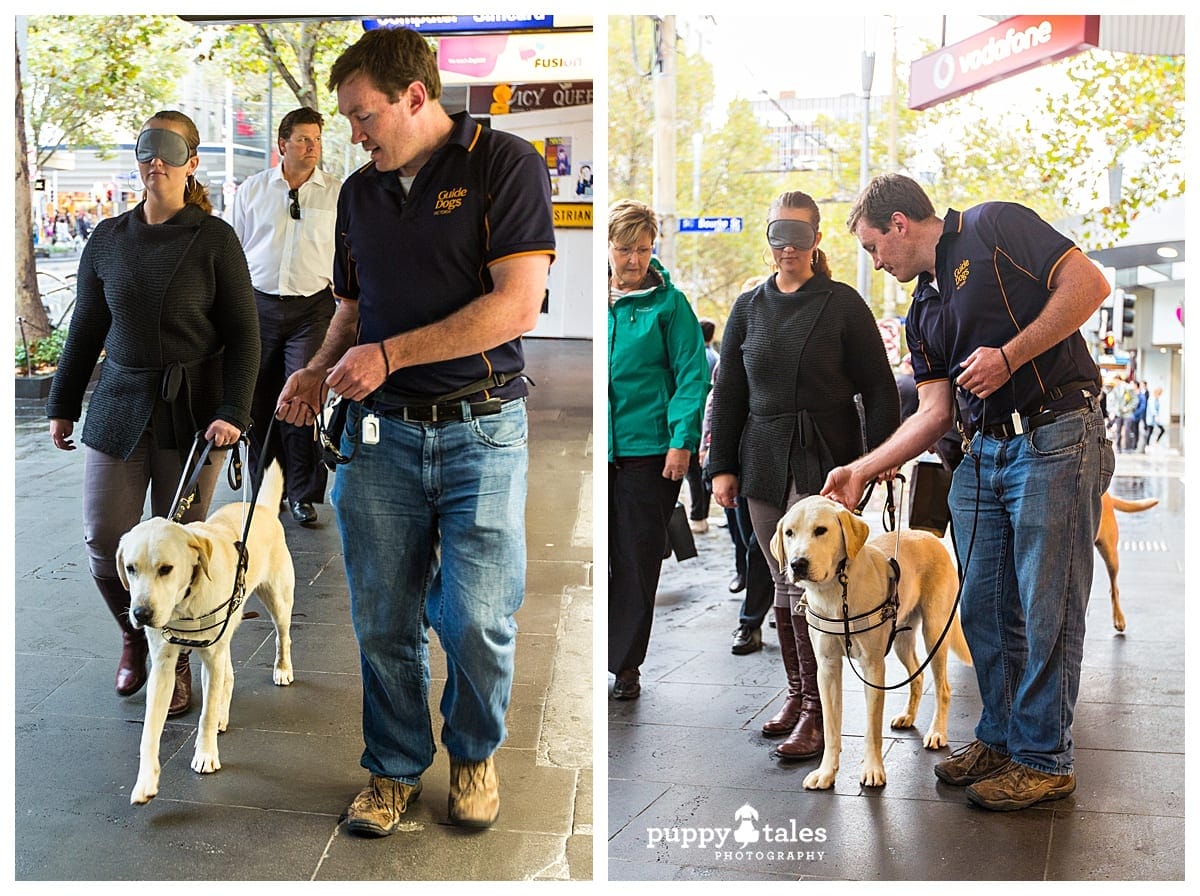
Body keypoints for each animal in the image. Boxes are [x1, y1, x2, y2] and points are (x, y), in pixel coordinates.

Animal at [116, 462, 295, 806]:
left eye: (166, 569)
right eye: (131, 568)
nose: (141, 614)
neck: (184, 604)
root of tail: (264, 508)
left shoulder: (211, 656)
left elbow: (206, 714)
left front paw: (206, 755)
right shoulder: (163, 666)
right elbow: (149, 731)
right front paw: (146, 781)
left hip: (278, 601)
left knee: (283, 637)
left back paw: (282, 670)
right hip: (223, 634)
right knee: (229, 675)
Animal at [772, 496, 969, 791]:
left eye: (821, 530)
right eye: (789, 533)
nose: (797, 564)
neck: (835, 593)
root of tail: (928, 536)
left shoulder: (873, 667)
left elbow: (871, 728)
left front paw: (873, 769)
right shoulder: (827, 669)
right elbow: (831, 728)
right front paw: (826, 772)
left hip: (935, 632)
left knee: (943, 688)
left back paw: (936, 732)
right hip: (901, 639)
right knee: (917, 677)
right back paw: (908, 716)